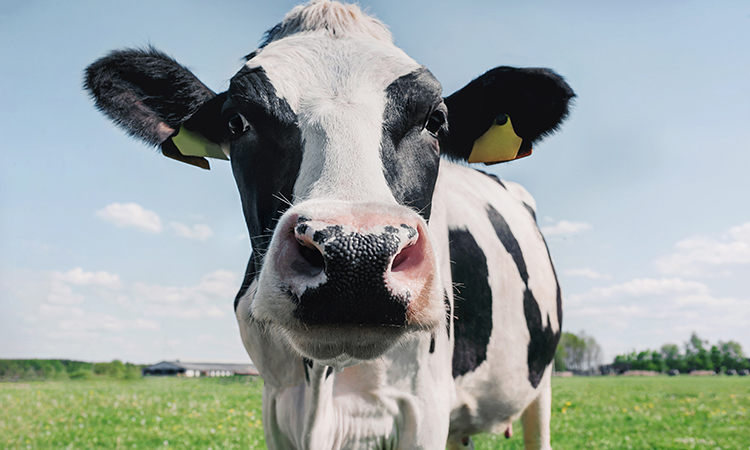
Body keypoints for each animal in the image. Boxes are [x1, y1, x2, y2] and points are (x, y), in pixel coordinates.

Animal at [83, 1, 576, 448]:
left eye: (435, 120)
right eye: (238, 121)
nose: (356, 256)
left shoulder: (424, 406)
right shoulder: (277, 404)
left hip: (541, 384)